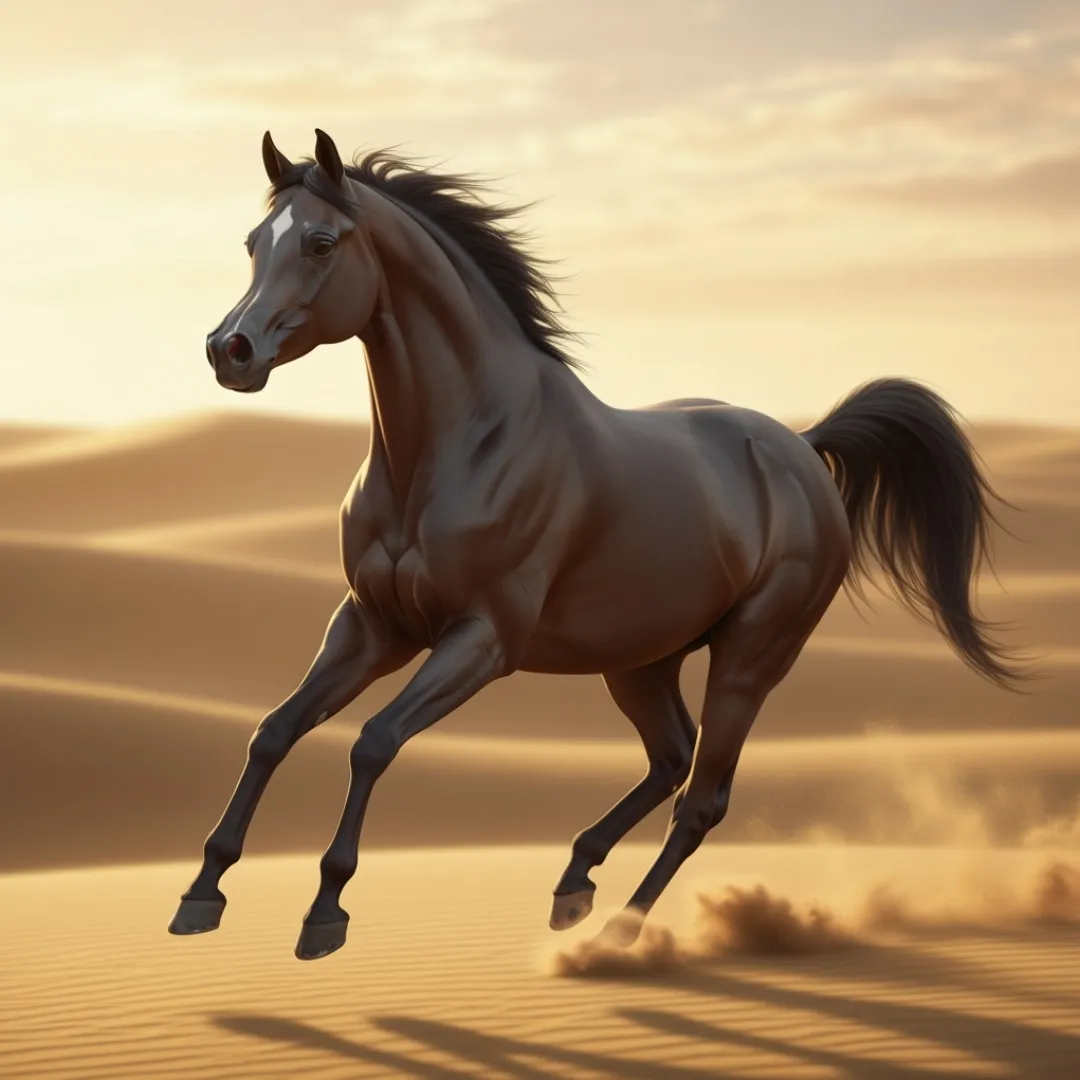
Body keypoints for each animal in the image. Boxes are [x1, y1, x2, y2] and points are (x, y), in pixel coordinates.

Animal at [170, 128, 1022, 961]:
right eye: (254, 242)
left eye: (320, 242)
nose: (229, 351)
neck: (460, 446)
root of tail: (802, 448)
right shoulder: (372, 624)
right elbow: (275, 730)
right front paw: (201, 894)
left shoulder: (482, 639)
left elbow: (373, 743)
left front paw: (326, 911)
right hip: (641, 659)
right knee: (671, 756)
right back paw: (574, 881)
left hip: (750, 658)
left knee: (702, 798)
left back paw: (619, 932)